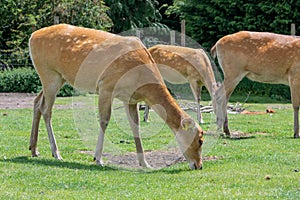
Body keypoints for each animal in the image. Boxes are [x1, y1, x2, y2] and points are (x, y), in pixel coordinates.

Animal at [28, 24, 204, 170]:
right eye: (200, 140)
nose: (199, 165)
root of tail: (32, 36)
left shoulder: (130, 99)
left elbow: (135, 126)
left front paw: (144, 163)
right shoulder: (106, 86)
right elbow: (104, 120)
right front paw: (98, 159)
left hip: (58, 78)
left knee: (37, 102)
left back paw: (34, 149)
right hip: (49, 73)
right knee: (47, 110)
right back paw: (56, 153)